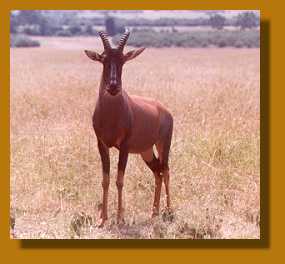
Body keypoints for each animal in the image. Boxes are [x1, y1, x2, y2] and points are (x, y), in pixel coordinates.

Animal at [84, 31, 173, 227]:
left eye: (123, 60)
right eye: (103, 59)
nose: (113, 87)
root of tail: (164, 109)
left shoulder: (124, 147)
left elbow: (120, 180)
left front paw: (120, 218)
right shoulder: (101, 145)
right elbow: (106, 180)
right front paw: (102, 219)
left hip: (163, 144)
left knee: (166, 171)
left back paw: (169, 212)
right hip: (146, 151)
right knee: (157, 172)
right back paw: (153, 213)